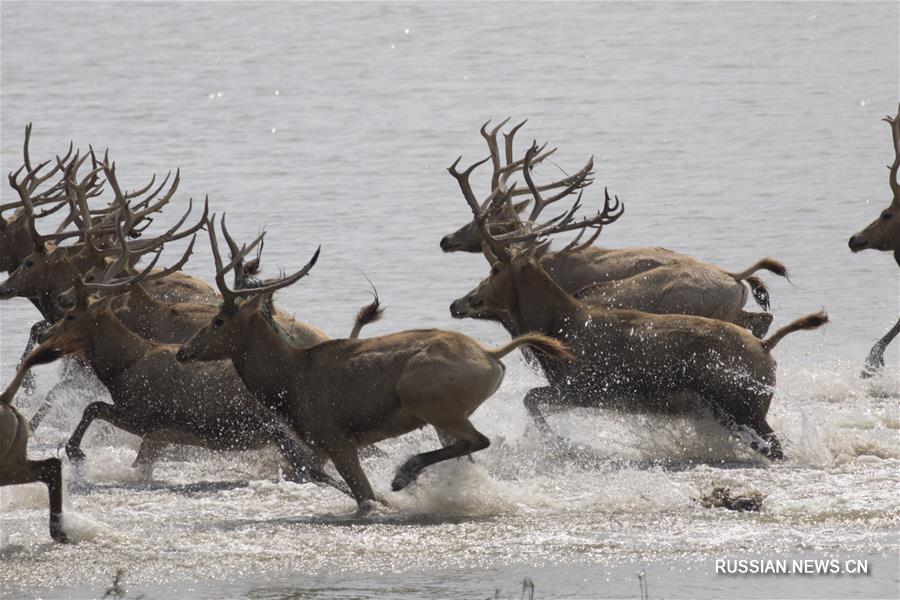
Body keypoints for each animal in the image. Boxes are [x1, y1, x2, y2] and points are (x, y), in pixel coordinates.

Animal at [175, 218, 568, 512]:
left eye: (218, 321)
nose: (183, 352)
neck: (292, 379)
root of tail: (493, 356)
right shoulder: (319, 446)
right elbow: (315, 473)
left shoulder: (337, 439)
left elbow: (363, 497)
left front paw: (386, 495)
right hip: (443, 415)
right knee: (468, 454)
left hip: (422, 398)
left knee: (478, 439)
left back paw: (403, 474)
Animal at [446, 154, 828, 460]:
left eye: (495, 269)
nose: (459, 303)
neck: (557, 326)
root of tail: (766, 348)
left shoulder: (583, 387)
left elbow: (530, 401)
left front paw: (559, 444)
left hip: (743, 406)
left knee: (776, 446)